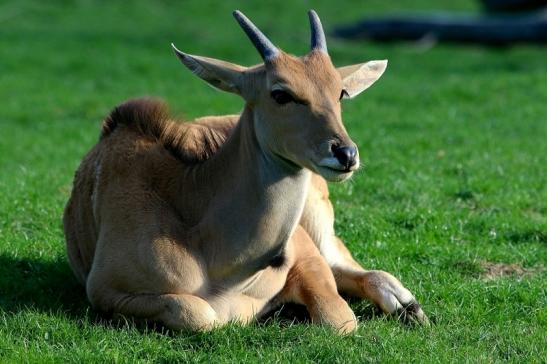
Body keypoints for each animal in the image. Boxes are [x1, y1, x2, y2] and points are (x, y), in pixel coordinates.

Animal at [64, 9, 428, 332]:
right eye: (280, 93)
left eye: (340, 92)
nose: (345, 153)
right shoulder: (105, 290)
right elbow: (198, 313)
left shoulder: (306, 254)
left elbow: (340, 319)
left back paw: (406, 304)